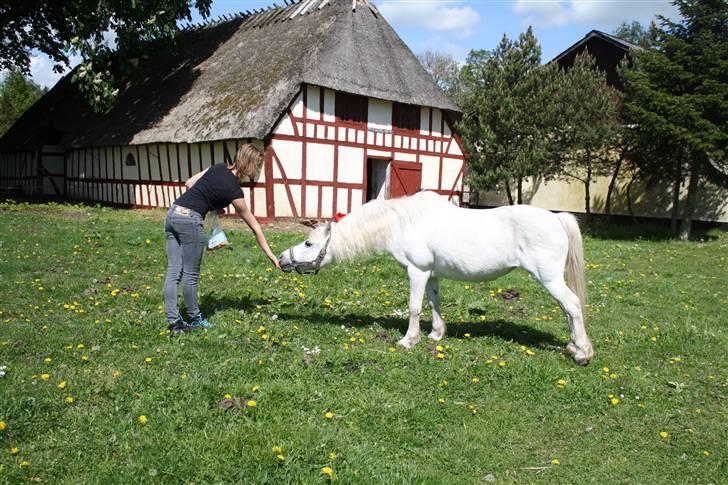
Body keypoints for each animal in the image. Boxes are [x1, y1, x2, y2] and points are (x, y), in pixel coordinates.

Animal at [278, 191, 592, 364]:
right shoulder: (431, 274)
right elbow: (433, 303)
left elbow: (414, 307)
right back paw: (572, 345)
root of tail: (556, 218)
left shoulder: (416, 271)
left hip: (548, 278)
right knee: (568, 309)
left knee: (573, 305)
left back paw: (582, 353)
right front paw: (436, 334)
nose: (281, 260)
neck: (403, 224)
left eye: (308, 243)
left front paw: (408, 340)